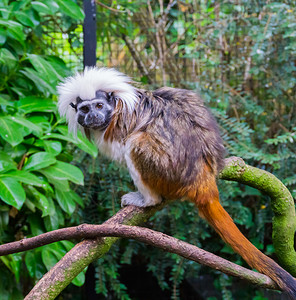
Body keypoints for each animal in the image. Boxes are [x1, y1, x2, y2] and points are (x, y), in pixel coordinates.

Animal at [57, 67, 296, 296]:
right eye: (84, 109)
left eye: (99, 106)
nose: (93, 116)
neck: (116, 107)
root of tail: (202, 182)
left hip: (166, 172)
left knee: (136, 142)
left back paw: (147, 199)